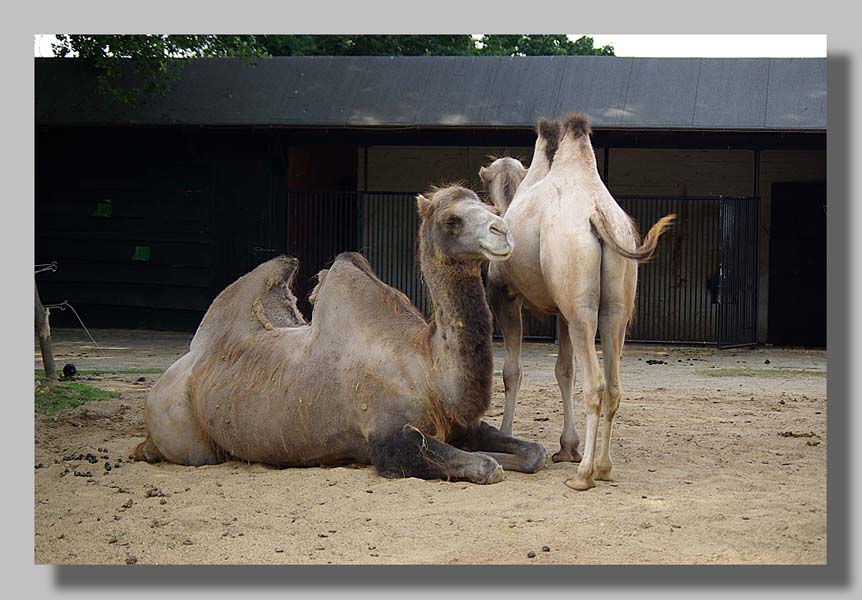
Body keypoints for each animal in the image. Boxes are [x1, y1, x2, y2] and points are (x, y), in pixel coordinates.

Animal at [132, 185, 552, 486]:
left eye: (491, 209)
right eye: (452, 220)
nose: (502, 232)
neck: (427, 368)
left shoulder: (462, 425)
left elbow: (534, 452)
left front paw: (518, 456)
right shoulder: (387, 439)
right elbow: (485, 467)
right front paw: (494, 463)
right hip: (183, 428)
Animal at [480, 115, 676, 490]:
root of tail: (598, 215)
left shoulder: (504, 295)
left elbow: (512, 371)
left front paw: (507, 435)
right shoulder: (561, 311)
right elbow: (564, 370)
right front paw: (566, 447)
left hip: (580, 302)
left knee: (596, 384)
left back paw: (584, 475)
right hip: (613, 305)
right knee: (613, 382)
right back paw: (604, 467)